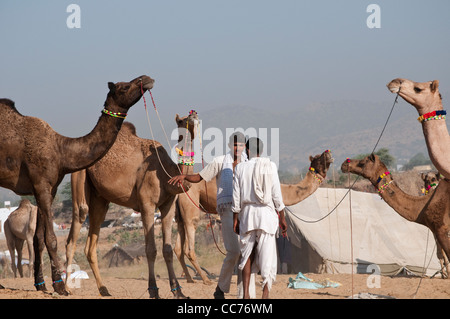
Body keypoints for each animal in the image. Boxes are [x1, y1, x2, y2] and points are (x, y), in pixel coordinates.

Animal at [0, 75, 153, 296]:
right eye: (124, 87)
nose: (146, 79)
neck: (61, 150)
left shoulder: (48, 188)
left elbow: (39, 238)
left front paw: (42, 285)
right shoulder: (41, 183)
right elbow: (51, 238)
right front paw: (61, 287)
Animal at [67, 111, 199, 298]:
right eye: (181, 121)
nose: (193, 115)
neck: (166, 173)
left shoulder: (168, 206)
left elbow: (167, 249)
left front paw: (178, 291)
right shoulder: (147, 204)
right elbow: (150, 249)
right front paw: (153, 290)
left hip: (100, 199)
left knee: (91, 240)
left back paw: (104, 289)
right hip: (79, 175)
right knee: (78, 220)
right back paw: (66, 288)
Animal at [176, 150, 334, 284]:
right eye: (318, 158)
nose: (329, 153)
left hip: (179, 213)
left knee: (178, 246)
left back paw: (190, 278)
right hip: (190, 205)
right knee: (190, 238)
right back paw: (205, 279)